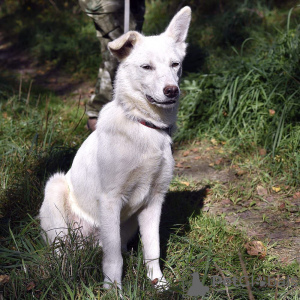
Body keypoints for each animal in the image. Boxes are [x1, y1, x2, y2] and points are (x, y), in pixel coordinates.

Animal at [39, 5, 190, 290]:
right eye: (146, 67)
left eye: (175, 65)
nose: (172, 91)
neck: (144, 127)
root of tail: (85, 244)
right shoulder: (110, 200)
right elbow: (113, 261)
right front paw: (113, 290)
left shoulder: (154, 201)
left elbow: (152, 250)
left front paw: (158, 283)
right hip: (55, 192)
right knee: (61, 253)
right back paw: (63, 276)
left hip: (126, 225)